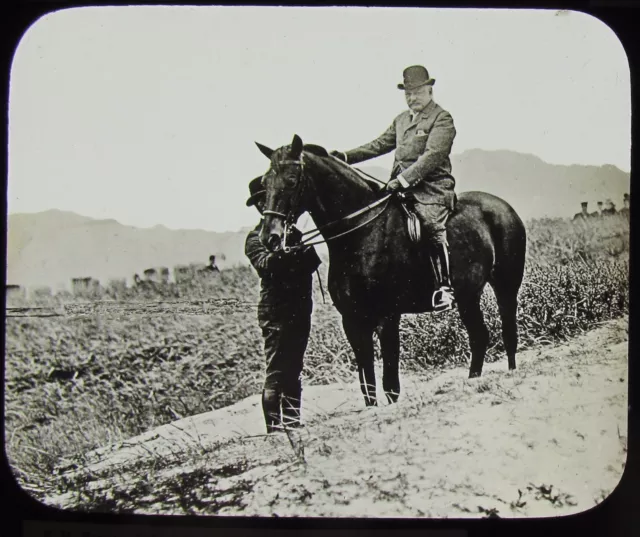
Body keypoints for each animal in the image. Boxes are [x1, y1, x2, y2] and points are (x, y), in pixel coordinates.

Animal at [254, 134, 524, 406]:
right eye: (265, 182)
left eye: (291, 179)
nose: (270, 237)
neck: (362, 233)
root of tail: (503, 206)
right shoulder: (353, 320)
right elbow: (367, 381)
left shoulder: (388, 316)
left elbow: (390, 382)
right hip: (468, 296)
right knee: (479, 336)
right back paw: (473, 381)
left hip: (506, 286)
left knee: (507, 329)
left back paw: (511, 372)